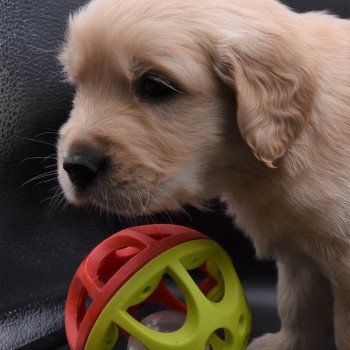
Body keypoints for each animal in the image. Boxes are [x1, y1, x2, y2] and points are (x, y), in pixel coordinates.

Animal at [56, 1, 348, 348]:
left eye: (156, 85)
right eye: (77, 84)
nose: (75, 166)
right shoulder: (298, 252)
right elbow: (297, 306)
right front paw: (283, 343)